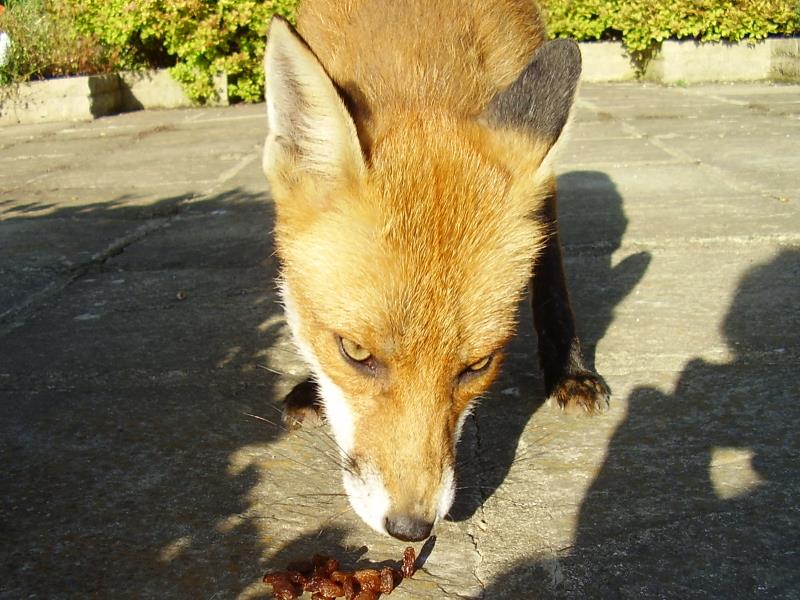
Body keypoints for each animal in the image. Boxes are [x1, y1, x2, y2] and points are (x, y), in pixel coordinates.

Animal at [260, 0, 608, 544]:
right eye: (354, 352)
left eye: (478, 365)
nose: (411, 528)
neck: (416, 57)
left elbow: (552, 277)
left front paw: (570, 370)